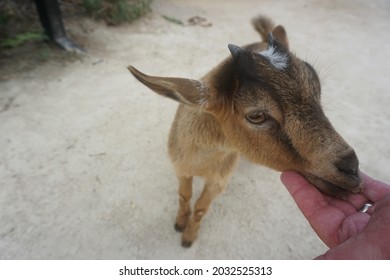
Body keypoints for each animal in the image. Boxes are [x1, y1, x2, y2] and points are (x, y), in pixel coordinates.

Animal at [128, 15, 362, 247]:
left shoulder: (219, 180)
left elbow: (201, 207)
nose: (351, 168)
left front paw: (188, 236)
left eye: (317, 88)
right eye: (256, 116)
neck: (202, 163)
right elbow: (184, 196)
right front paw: (179, 224)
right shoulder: (180, 168)